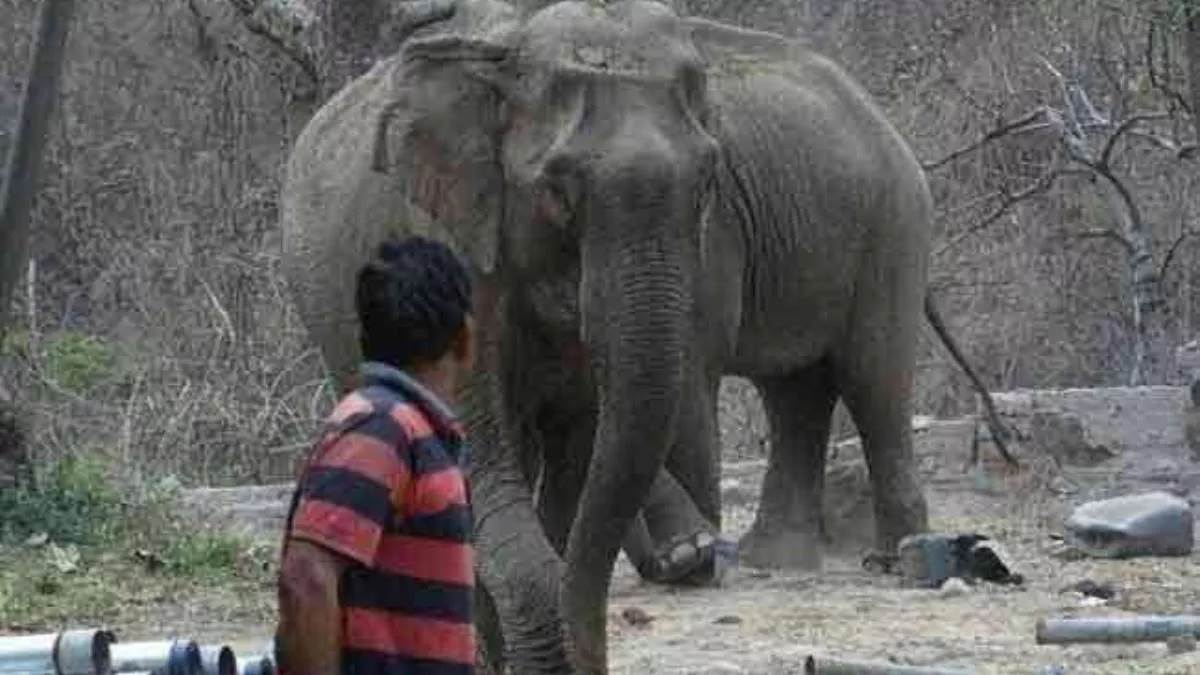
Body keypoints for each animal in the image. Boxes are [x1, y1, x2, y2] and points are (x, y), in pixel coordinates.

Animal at [279, 0, 981, 671]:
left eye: (707, 180)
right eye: (557, 189)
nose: (696, 550)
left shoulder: (711, 234)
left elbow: (629, 409)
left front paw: (688, 561)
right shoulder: (453, 231)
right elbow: (488, 441)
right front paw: (687, 560)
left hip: (893, 223)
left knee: (867, 376)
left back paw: (888, 558)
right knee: (798, 393)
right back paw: (780, 557)